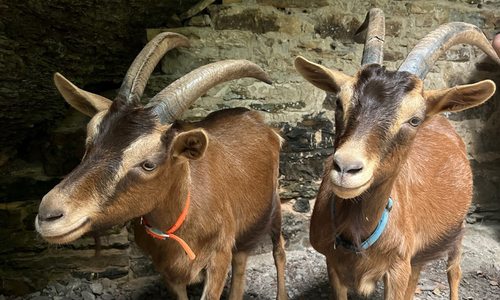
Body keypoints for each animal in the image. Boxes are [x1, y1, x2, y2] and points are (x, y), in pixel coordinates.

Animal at [35, 32, 288, 300]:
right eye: (89, 140)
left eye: (148, 164)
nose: (48, 214)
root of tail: (262, 123)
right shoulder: (167, 272)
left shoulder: (218, 256)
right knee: (241, 261)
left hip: (273, 206)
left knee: (278, 250)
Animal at [294, 8, 498, 300]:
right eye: (339, 102)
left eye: (414, 120)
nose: (346, 168)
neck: (358, 233)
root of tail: (440, 118)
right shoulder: (333, 265)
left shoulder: (397, 268)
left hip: (457, 230)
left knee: (454, 271)